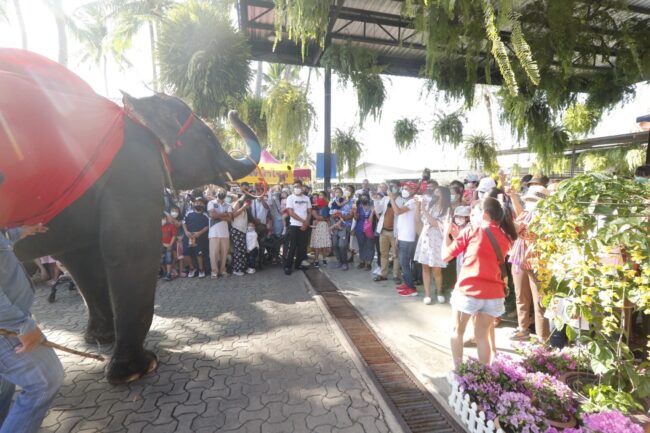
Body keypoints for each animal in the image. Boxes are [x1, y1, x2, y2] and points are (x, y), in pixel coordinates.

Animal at [12, 92, 262, 384]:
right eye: (209, 139)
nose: (234, 110)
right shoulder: (133, 175)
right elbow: (133, 252)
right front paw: (140, 367)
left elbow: (81, 257)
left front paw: (101, 340)